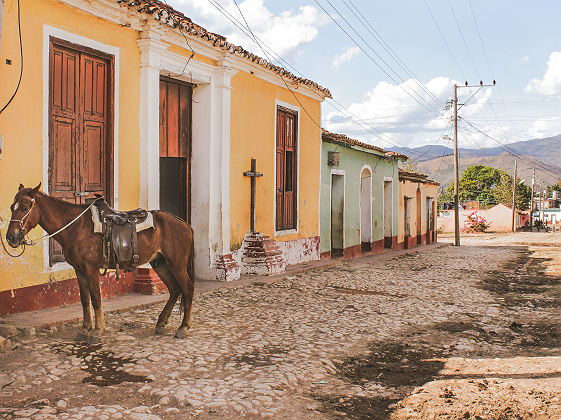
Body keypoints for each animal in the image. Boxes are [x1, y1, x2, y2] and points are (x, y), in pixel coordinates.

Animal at [5, 183, 195, 338]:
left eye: (25, 207)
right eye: (12, 207)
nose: (11, 237)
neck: (75, 226)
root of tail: (184, 224)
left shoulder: (91, 268)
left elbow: (96, 297)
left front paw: (98, 329)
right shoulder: (79, 269)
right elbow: (84, 298)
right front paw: (85, 328)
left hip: (176, 264)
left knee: (187, 289)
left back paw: (183, 327)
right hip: (160, 263)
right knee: (174, 289)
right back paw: (161, 323)